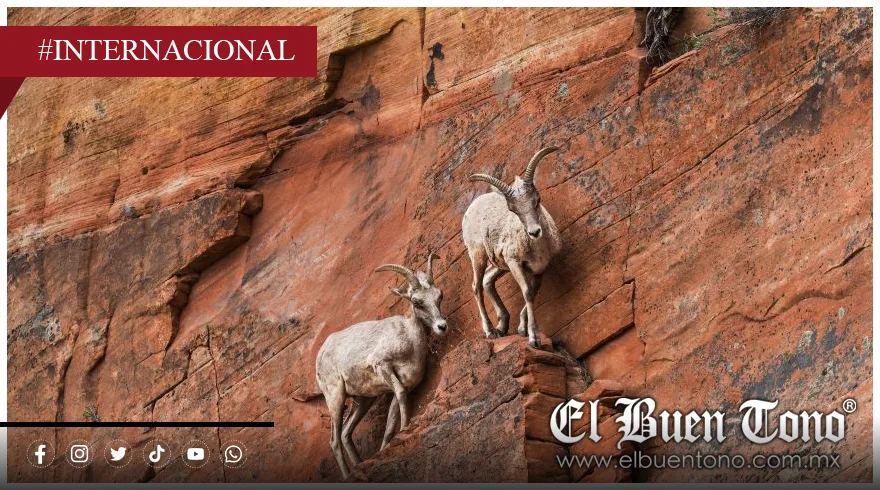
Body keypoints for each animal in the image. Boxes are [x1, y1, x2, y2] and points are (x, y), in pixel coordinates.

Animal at [315, 254, 447, 479]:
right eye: (417, 302)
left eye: (439, 296)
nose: (442, 326)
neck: (410, 341)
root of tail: (321, 353)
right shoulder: (382, 366)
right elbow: (401, 398)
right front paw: (406, 428)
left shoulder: (399, 386)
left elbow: (390, 424)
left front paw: (387, 447)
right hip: (335, 397)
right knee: (334, 440)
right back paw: (348, 475)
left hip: (363, 400)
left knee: (346, 433)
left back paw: (360, 467)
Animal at [462, 147, 562, 348]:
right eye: (513, 210)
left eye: (537, 200)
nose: (534, 232)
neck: (539, 249)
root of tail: (471, 209)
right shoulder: (516, 263)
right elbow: (527, 293)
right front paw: (533, 339)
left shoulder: (539, 269)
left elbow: (532, 292)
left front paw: (522, 329)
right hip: (478, 256)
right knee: (477, 286)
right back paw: (490, 331)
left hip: (500, 264)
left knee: (487, 280)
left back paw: (502, 327)